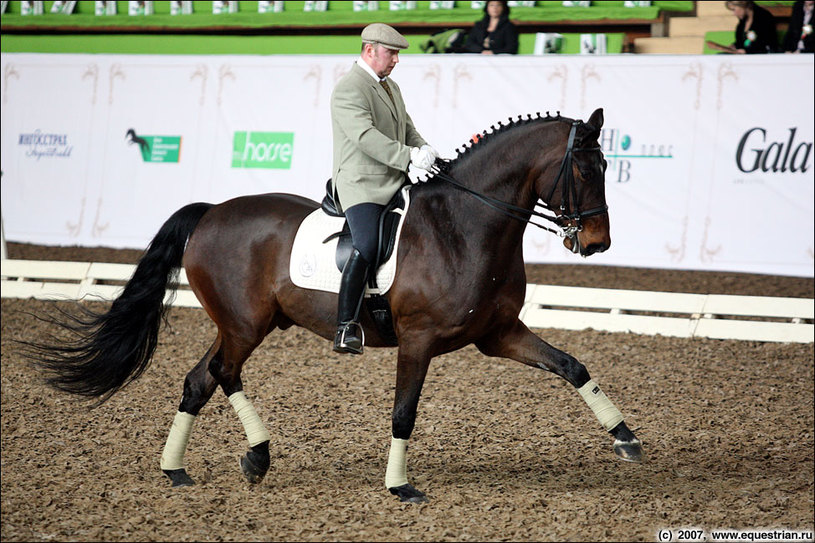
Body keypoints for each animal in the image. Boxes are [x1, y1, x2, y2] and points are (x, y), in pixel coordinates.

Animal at [23, 107, 644, 506]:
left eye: (608, 166)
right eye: (585, 168)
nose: (598, 243)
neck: (465, 226)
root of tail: (212, 211)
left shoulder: (499, 334)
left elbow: (572, 367)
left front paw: (626, 438)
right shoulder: (418, 341)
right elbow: (403, 412)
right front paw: (400, 486)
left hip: (244, 323)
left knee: (201, 379)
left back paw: (181, 470)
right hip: (245, 325)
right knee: (222, 372)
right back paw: (253, 456)